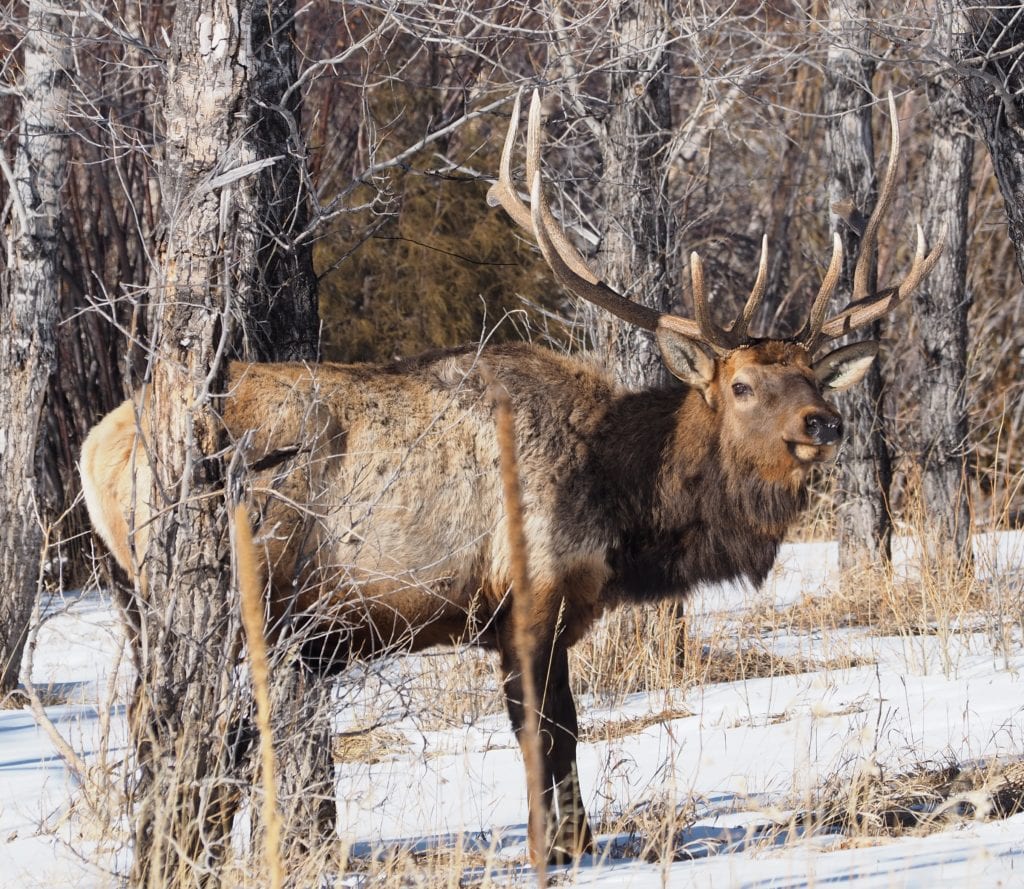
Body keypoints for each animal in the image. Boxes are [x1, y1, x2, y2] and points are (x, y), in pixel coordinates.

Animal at [79, 90, 942, 860]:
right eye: (742, 385)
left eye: (815, 376)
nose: (823, 422)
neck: (624, 506)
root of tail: (98, 444)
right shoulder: (528, 596)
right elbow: (550, 733)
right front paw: (563, 846)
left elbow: (559, 730)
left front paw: (574, 839)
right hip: (213, 591)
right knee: (168, 725)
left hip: (143, 601)